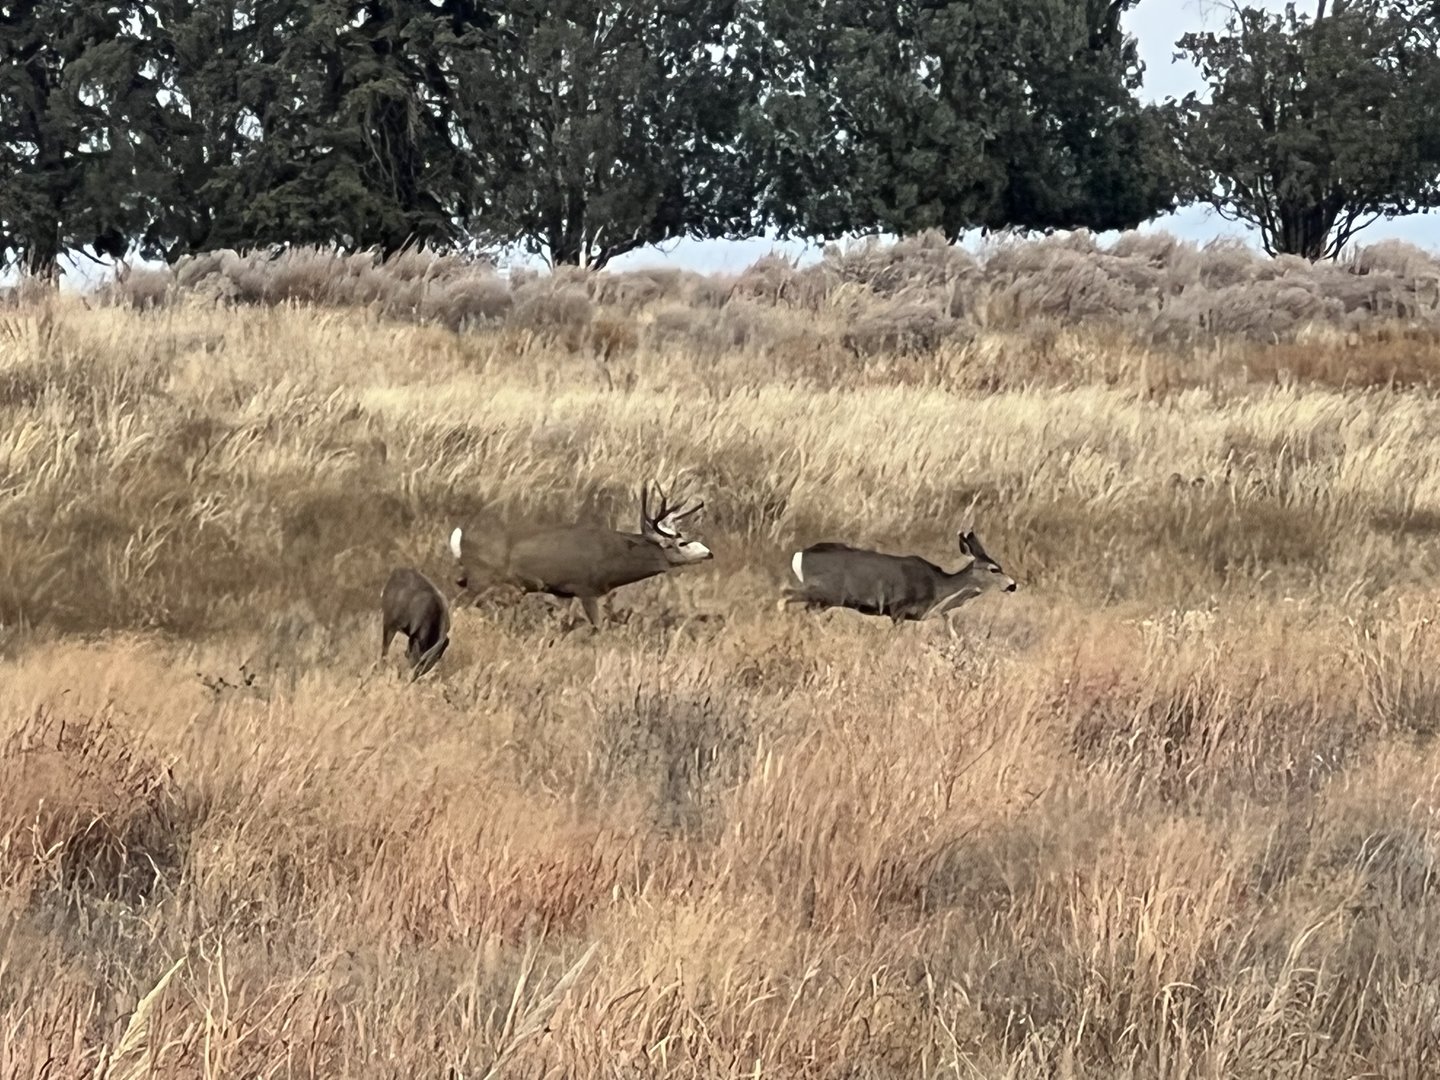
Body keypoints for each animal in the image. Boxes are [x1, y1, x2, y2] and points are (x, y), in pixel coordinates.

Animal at [449, 483, 713, 630]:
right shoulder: (586, 588)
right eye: (681, 542)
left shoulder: (562, 592)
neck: (612, 558)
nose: (709, 553)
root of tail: (461, 539)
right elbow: (597, 626)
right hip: (481, 578)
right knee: (457, 605)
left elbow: (562, 624)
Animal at [781, 526, 1017, 625]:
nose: (1013, 585)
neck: (939, 588)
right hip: (827, 591)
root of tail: (800, 555)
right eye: (994, 569)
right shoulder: (898, 608)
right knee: (786, 595)